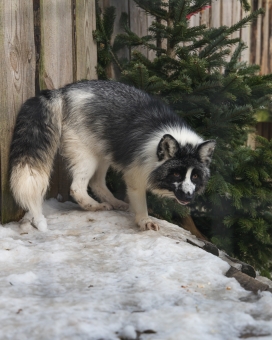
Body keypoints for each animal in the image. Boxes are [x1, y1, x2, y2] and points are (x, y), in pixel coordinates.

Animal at [9, 81, 216, 232]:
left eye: (195, 176)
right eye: (176, 174)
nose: (188, 196)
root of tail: (62, 91)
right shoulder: (134, 175)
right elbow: (141, 202)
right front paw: (144, 220)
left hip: (103, 154)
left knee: (96, 183)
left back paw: (114, 202)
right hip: (88, 157)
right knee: (77, 188)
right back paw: (95, 206)